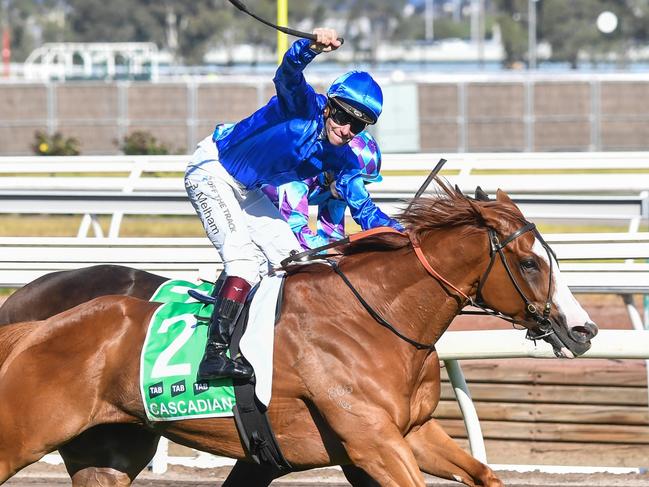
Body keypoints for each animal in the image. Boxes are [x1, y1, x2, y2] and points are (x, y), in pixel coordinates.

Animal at [0, 185, 596, 486]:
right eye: (530, 263)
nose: (583, 329)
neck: (376, 317)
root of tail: (33, 325)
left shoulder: (410, 433)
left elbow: (484, 474)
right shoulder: (371, 443)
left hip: (108, 452)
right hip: (23, 434)